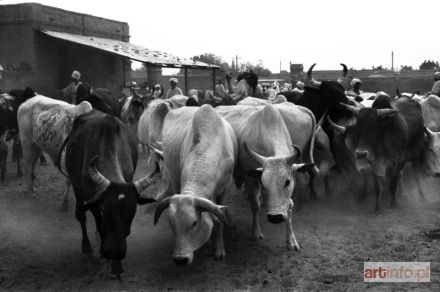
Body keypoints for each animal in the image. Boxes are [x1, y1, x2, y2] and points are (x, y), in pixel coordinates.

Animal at [64, 110, 161, 278]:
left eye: (131, 213)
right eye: (105, 210)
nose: (115, 252)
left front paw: (117, 265)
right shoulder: (93, 201)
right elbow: (99, 224)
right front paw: (106, 256)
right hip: (77, 188)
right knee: (80, 215)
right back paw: (87, 247)